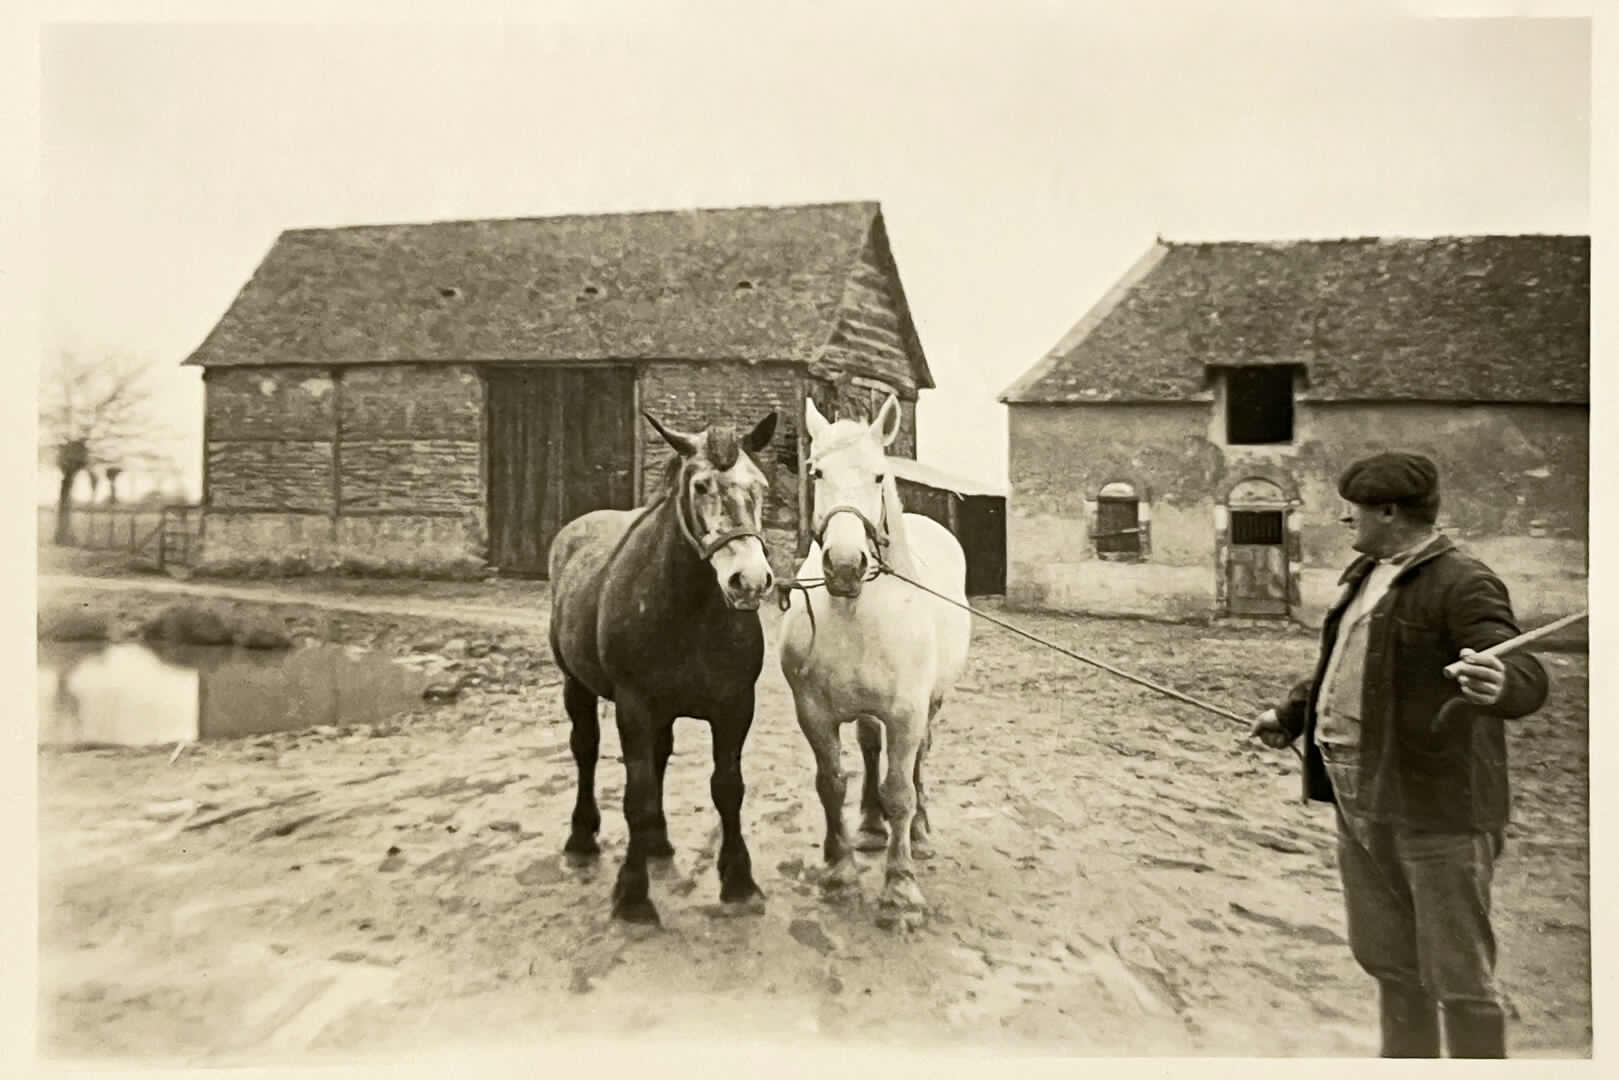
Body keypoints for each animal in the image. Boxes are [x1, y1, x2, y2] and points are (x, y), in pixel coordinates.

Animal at [547, 409, 778, 925]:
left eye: (761, 486)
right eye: (700, 486)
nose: (750, 581)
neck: (690, 609)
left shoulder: (736, 706)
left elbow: (727, 787)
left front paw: (739, 881)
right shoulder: (633, 705)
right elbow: (637, 795)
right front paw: (633, 895)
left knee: (658, 758)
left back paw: (657, 842)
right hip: (576, 685)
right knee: (586, 750)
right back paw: (581, 837)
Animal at [778, 393, 972, 923]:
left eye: (880, 476)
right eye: (816, 471)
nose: (845, 565)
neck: (855, 610)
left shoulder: (907, 711)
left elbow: (900, 790)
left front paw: (900, 889)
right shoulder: (812, 712)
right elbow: (831, 784)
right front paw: (840, 871)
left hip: (931, 704)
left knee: (919, 758)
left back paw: (920, 834)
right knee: (868, 747)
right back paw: (868, 826)